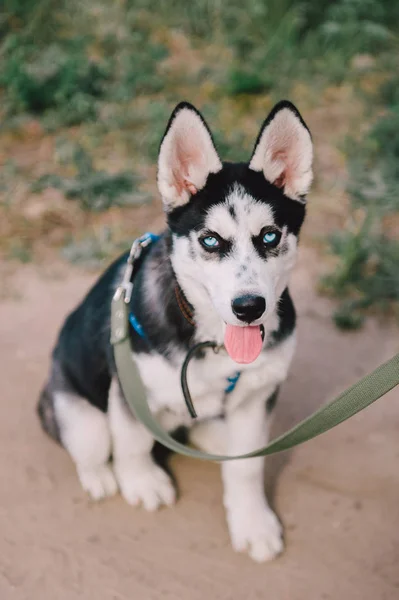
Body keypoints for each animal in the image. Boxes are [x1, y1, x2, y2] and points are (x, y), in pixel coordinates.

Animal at [39, 99, 314, 564]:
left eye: (269, 236)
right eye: (210, 240)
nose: (248, 307)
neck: (212, 340)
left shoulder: (257, 396)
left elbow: (248, 466)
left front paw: (252, 523)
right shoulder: (129, 389)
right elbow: (131, 442)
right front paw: (141, 481)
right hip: (76, 408)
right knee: (90, 443)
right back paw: (99, 476)